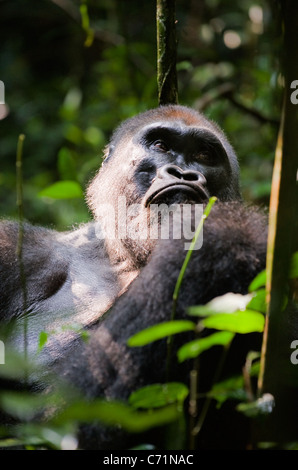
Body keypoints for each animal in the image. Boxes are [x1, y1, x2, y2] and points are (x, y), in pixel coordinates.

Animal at [0, 105, 268, 448]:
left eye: (204, 154)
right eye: (161, 146)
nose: (184, 174)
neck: (124, 259)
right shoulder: (17, 248)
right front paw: (224, 235)